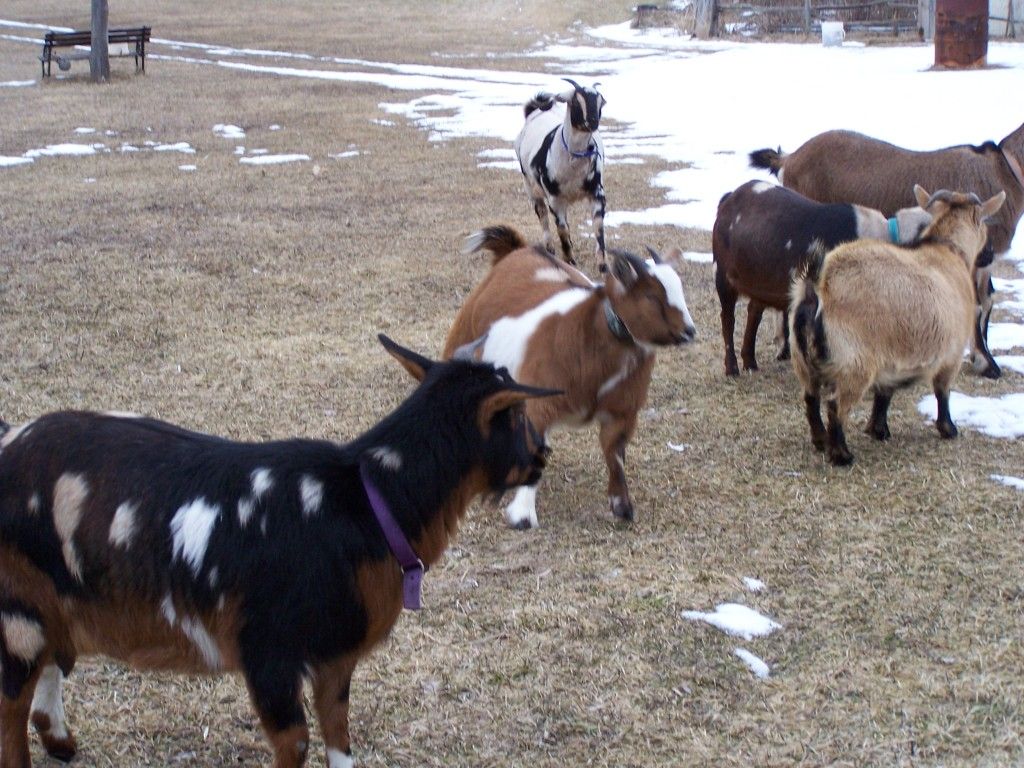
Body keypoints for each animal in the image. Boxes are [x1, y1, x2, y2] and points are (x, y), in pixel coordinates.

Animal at [0, 336, 557, 768]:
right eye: (516, 415)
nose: (542, 456)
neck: (365, 501)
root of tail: (10, 440)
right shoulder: (267, 652)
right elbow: (296, 743)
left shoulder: (335, 657)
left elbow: (339, 736)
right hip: (18, 608)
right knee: (12, 705)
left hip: (59, 600)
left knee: (52, 664)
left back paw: (60, 740)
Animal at [443, 225, 696, 529]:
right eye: (652, 296)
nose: (689, 331)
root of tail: (517, 249)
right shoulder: (540, 405)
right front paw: (522, 516)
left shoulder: (623, 413)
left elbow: (615, 456)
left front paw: (623, 507)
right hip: (462, 339)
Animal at [514, 78, 607, 266]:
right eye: (576, 101)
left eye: (601, 102)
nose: (593, 121)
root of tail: (534, 111)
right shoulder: (555, 199)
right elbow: (562, 229)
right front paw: (569, 259)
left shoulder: (596, 192)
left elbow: (598, 226)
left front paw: (603, 265)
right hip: (530, 186)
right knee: (542, 213)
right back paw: (549, 247)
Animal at [713, 180, 932, 376]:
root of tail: (729, 198)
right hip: (722, 275)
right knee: (728, 319)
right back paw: (732, 368)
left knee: (754, 312)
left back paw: (750, 362)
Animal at [789, 186, 1005, 466]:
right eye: (984, 223)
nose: (990, 253)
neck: (946, 249)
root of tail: (819, 285)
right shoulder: (951, 355)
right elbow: (942, 391)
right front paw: (948, 429)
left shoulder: (893, 356)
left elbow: (884, 393)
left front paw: (878, 430)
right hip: (854, 363)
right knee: (835, 406)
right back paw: (841, 454)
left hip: (803, 361)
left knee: (811, 399)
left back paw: (820, 441)